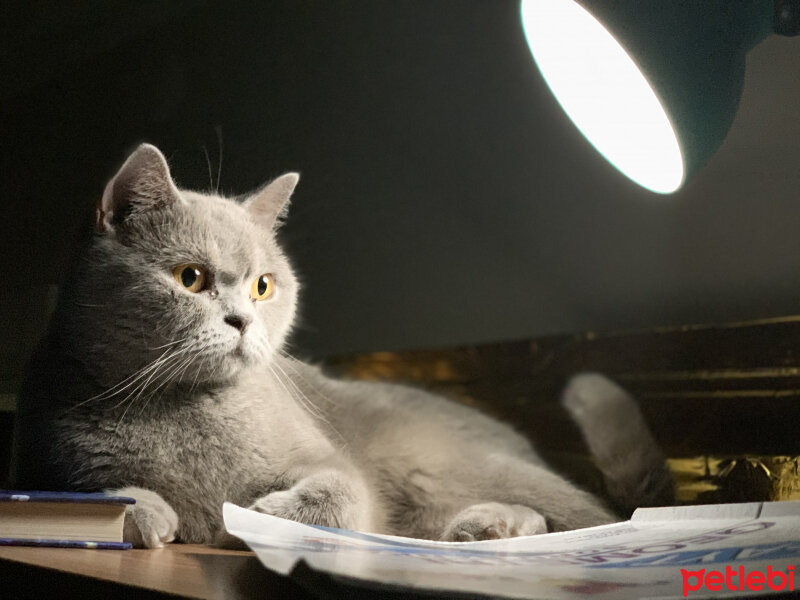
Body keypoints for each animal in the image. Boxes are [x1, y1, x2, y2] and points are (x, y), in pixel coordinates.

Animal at [12, 146, 672, 548]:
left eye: (263, 285)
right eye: (190, 278)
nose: (242, 320)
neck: (179, 406)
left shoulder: (330, 464)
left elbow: (340, 492)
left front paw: (256, 515)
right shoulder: (46, 453)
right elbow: (87, 489)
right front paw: (147, 513)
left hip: (445, 465)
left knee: (598, 518)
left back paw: (494, 525)